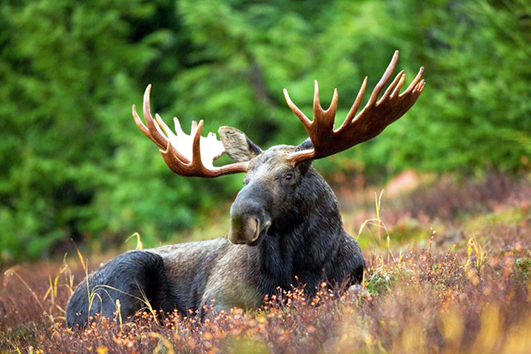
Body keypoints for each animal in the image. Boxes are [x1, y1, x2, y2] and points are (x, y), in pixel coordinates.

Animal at [66, 50, 426, 326]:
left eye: (288, 176)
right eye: (245, 180)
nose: (240, 221)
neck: (302, 267)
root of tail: (69, 308)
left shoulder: (349, 280)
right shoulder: (217, 300)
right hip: (124, 282)